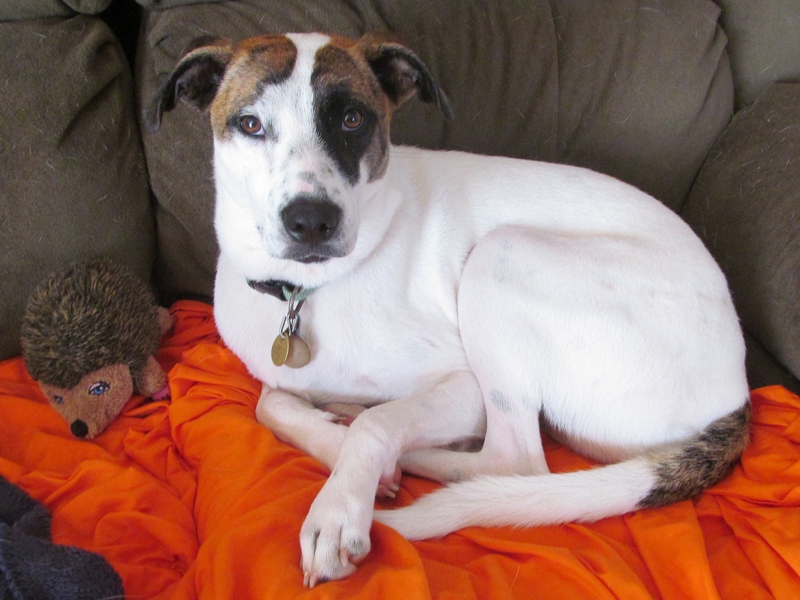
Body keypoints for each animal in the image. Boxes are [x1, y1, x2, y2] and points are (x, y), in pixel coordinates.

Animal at [148, 31, 752, 584]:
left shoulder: (464, 388)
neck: (308, 290)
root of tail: (739, 393)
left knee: (514, 461)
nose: (311, 220)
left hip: (502, 255)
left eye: (352, 120)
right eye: (250, 124)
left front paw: (341, 504)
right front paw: (333, 437)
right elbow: (269, 402)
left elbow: (378, 423)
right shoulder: (280, 377)